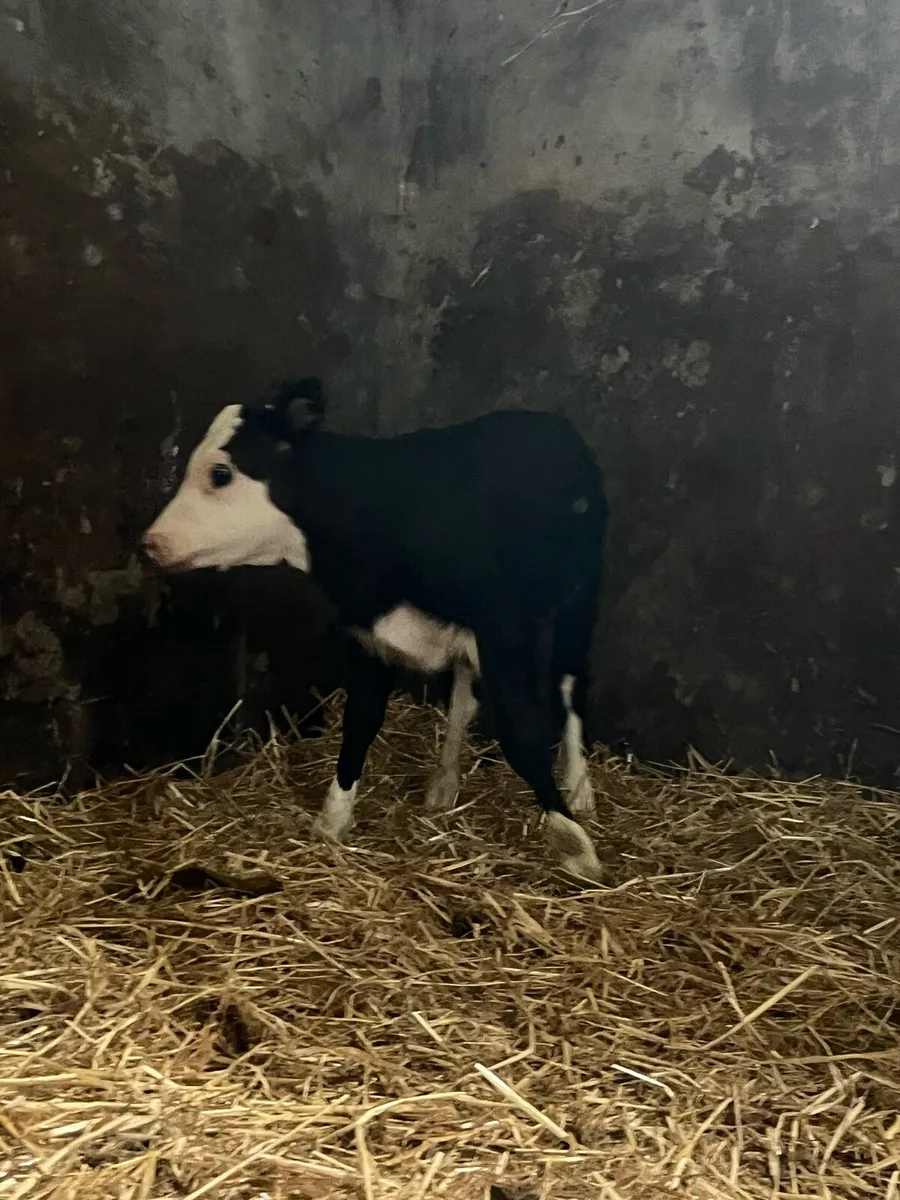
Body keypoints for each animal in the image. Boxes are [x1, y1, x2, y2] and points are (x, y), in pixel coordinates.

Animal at [142, 378, 608, 884]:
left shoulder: (502, 632)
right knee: (464, 695)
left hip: (580, 597)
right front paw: (333, 819)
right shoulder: (369, 639)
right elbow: (360, 721)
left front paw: (571, 841)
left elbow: (522, 731)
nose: (150, 544)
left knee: (568, 686)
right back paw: (444, 782)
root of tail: (547, 420)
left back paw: (579, 785)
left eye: (220, 473)